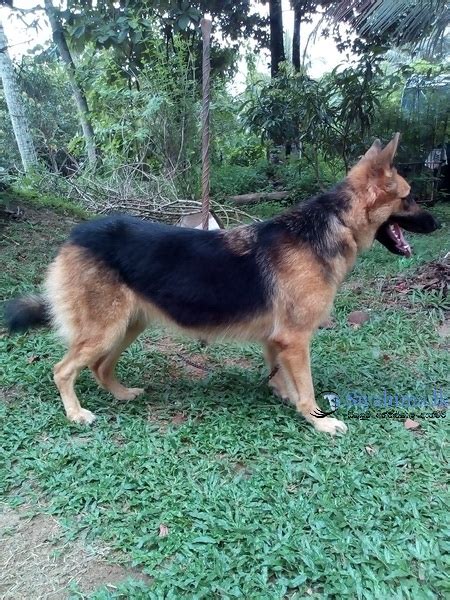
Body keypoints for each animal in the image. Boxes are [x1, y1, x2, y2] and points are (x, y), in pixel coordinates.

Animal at [3, 134, 440, 434]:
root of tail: (75, 235)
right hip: (107, 329)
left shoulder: (279, 340)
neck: (332, 225)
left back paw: (122, 394)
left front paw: (285, 396)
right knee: (63, 370)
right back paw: (76, 413)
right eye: (410, 197)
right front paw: (316, 419)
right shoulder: (295, 338)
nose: (438, 224)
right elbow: (307, 387)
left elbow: (283, 375)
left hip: (127, 326)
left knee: (98, 365)